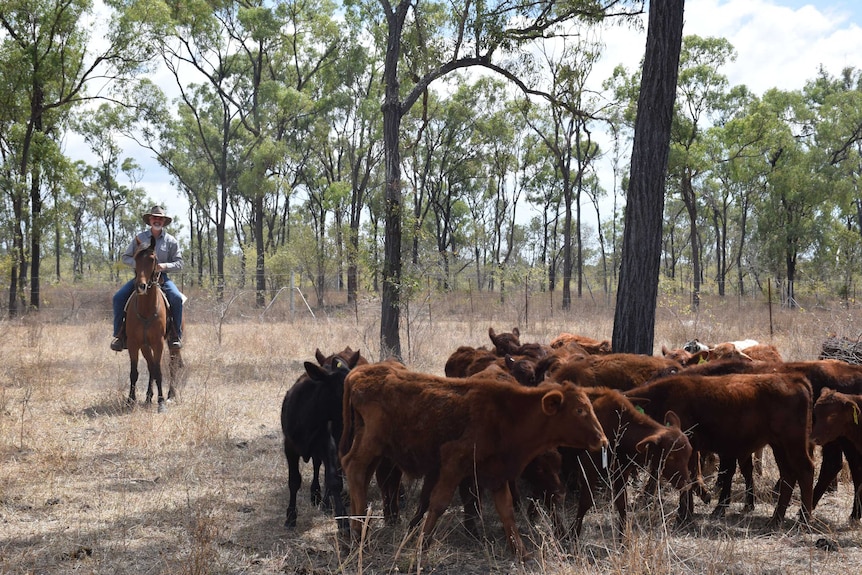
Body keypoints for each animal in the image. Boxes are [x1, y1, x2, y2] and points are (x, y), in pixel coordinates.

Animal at [125, 236, 181, 412]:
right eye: (135, 258)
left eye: (152, 259)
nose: (141, 286)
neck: (146, 310)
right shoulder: (134, 343)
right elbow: (134, 372)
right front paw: (130, 400)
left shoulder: (158, 343)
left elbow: (159, 372)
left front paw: (161, 402)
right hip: (145, 345)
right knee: (150, 367)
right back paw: (149, 396)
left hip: (172, 345)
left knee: (172, 367)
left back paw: (170, 395)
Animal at [338, 364, 608, 560]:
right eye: (579, 410)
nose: (602, 439)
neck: (507, 414)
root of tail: (359, 372)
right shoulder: (454, 463)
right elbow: (438, 503)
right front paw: (421, 545)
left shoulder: (497, 472)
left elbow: (506, 511)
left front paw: (521, 552)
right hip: (372, 443)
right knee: (354, 468)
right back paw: (358, 533)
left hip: (375, 449)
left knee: (360, 475)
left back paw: (359, 531)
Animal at [568, 388, 696, 540]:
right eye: (670, 456)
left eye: (689, 453)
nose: (686, 484)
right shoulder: (589, 466)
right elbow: (586, 501)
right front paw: (573, 534)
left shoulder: (622, 470)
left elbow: (622, 503)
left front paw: (622, 538)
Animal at [620, 374, 816, 528]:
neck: (662, 397)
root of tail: (794, 379)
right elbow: (690, 477)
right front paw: (688, 512)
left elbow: (688, 477)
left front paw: (684, 515)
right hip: (779, 447)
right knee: (788, 476)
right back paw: (775, 519)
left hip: (792, 445)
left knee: (805, 470)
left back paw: (803, 520)